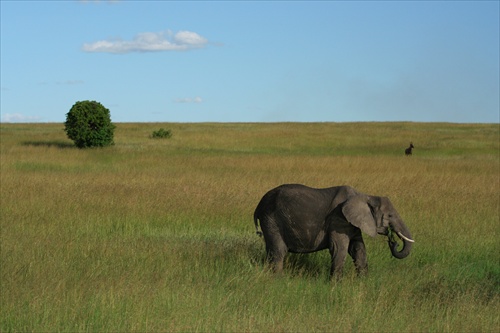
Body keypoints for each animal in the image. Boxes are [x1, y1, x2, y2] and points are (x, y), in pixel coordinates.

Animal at [254, 184, 414, 278]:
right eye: (390, 216)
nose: (393, 242)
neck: (365, 196)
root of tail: (258, 206)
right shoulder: (338, 219)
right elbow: (339, 248)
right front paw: (335, 285)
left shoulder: (352, 223)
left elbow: (358, 249)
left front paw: (363, 281)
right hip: (271, 219)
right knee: (278, 250)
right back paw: (277, 278)